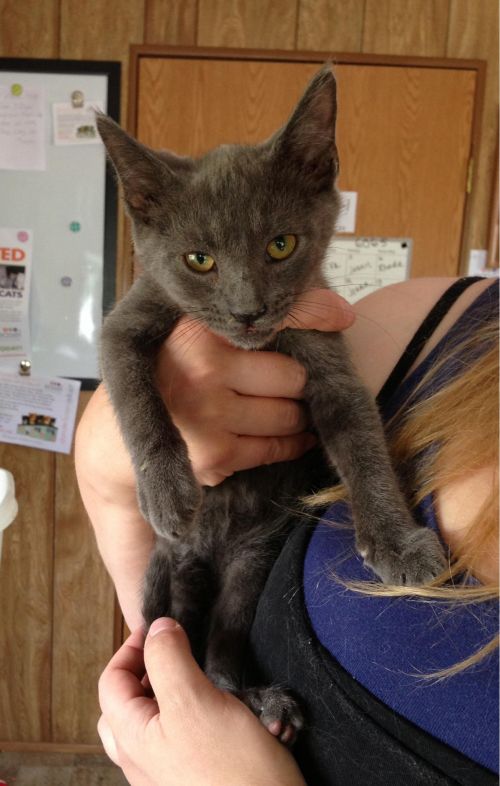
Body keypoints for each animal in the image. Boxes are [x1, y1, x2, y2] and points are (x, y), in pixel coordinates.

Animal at [97, 67, 446, 740]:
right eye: (199, 259)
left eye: (281, 246)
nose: (247, 311)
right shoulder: (127, 320)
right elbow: (134, 395)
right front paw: (166, 489)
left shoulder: (329, 362)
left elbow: (363, 445)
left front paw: (396, 543)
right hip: (166, 575)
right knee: (165, 641)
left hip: (249, 567)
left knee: (218, 658)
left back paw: (261, 703)